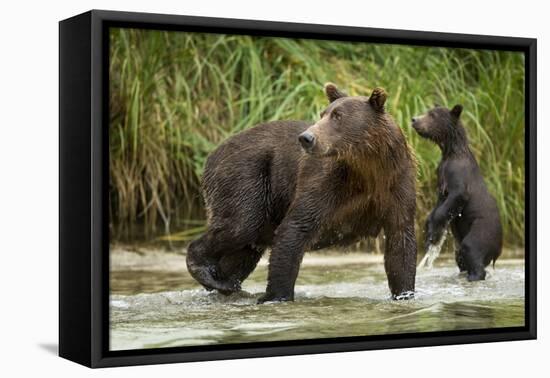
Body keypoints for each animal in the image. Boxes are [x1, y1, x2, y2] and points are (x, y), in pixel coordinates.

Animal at [187, 84, 418, 302]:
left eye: (338, 116)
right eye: (323, 113)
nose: (307, 137)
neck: (367, 168)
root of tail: (212, 154)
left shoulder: (396, 185)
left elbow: (400, 243)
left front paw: (404, 294)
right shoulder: (327, 182)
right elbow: (296, 227)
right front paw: (277, 295)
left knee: (246, 249)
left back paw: (225, 282)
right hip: (247, 176)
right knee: (241, 225)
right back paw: (206, 271)